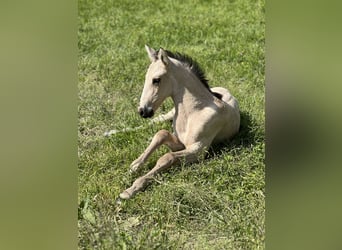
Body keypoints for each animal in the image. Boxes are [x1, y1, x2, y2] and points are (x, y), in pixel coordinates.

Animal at [119, 45, 239, 199]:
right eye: (145, 78)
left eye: (156, 80)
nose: (143, 111)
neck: (193, 112)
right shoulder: (180, 142)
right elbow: (161, 133)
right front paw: (135, 165)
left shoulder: (197, 149)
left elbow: (167, 156)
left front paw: (132, 188)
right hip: (167, 114)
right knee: (155, 122)